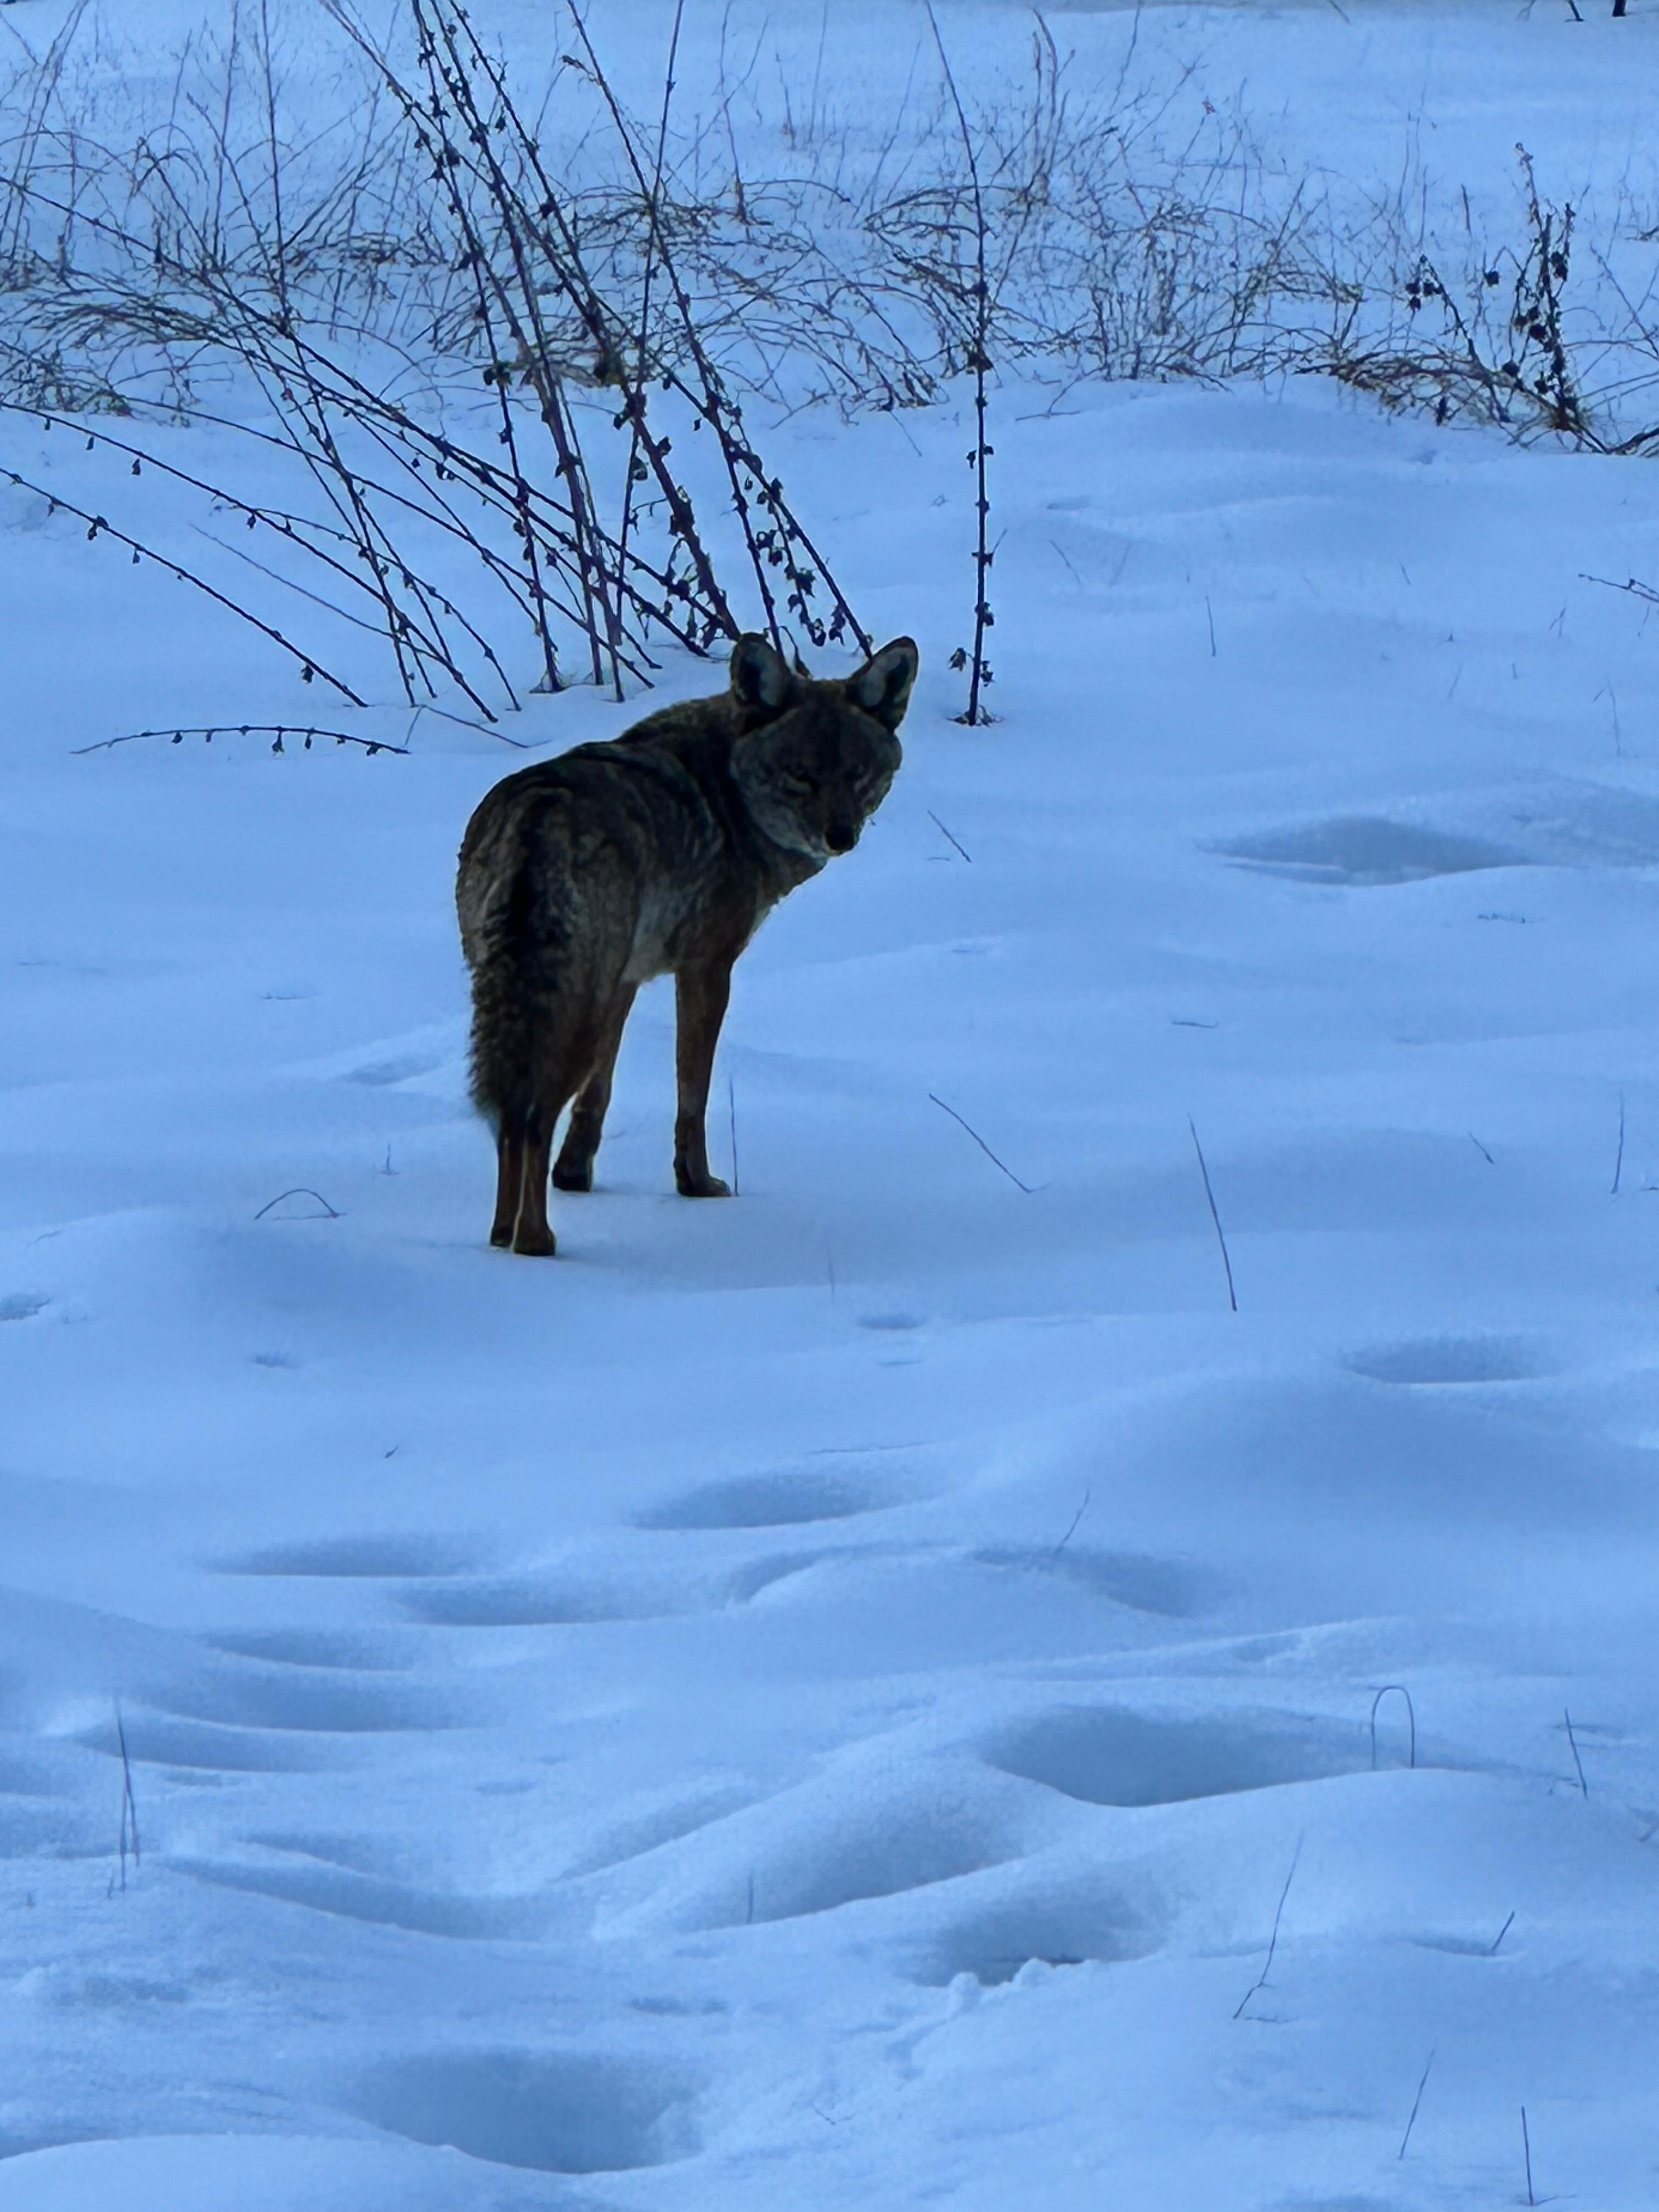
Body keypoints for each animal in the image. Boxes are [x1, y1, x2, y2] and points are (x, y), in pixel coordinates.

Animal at [456, 630, 917, 1255]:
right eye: (801, 775)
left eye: (859, 774)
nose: (840, 836)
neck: (729, 792)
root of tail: (537, 815)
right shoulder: (707, 969)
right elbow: (692, 1096)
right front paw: (696, 1184)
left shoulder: (625, 982)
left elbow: (598, 1096)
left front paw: (575, 1175)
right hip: (568, 1013)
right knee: (532, 1118)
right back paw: (535, 1240)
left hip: (529, 1005)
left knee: (510, 1114)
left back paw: (502, 1232)